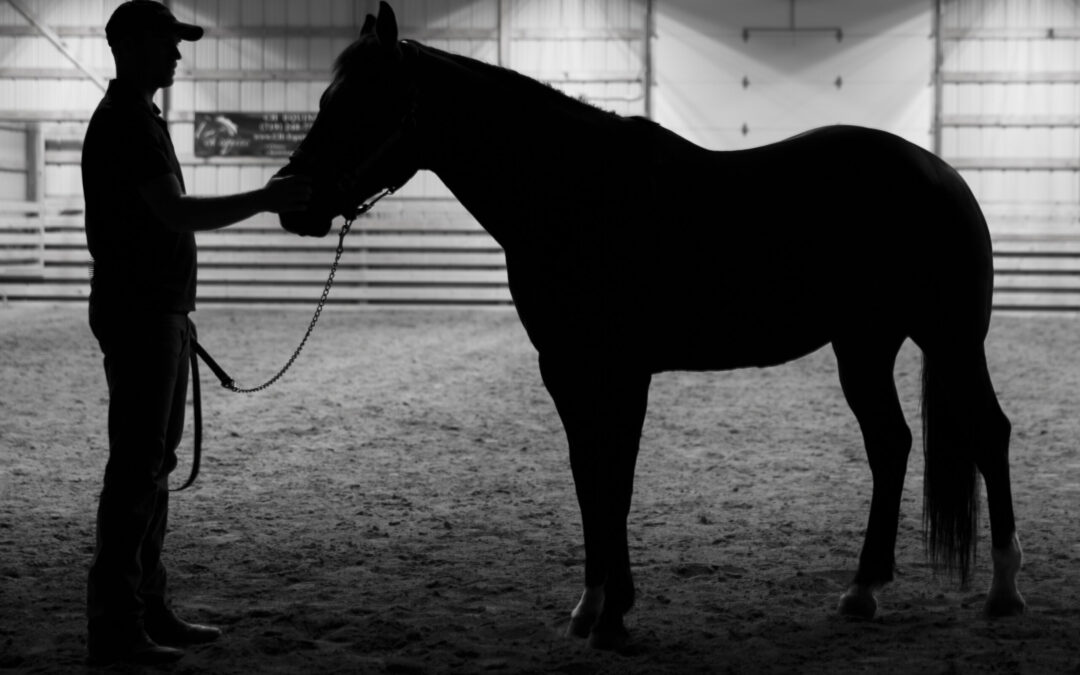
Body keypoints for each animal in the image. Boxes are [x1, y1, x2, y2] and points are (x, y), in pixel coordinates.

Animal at [276, 2, 1026, 649]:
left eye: (361, 101)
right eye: (326, 98)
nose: (292, 201)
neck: (574, 194)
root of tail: (942, 173)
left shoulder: (621, 369)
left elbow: (617, 479)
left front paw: (614, 617)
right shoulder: (565, 369)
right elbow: (588, 476)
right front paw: (592, 605)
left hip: (951, 339)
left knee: (988, 433)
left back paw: (1004, 591)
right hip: (864, 346)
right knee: (890, 444)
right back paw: (863, 590)